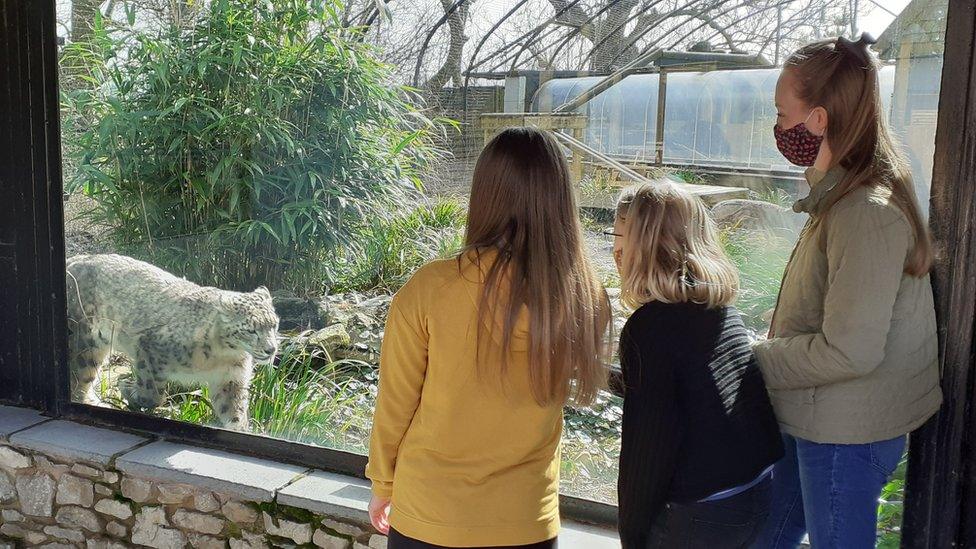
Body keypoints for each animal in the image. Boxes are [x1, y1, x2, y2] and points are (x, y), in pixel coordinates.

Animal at [65, 253, 278, 428]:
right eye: (251, 330)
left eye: (274, 324)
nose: (271, 349)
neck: (223, 355)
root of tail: (74, 259)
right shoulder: (149, 348)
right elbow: (153, 393)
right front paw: (127, 387)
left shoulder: (231, 379)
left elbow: (234, 412)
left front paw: (240, 429)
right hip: (84, 342)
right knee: (78, 378)